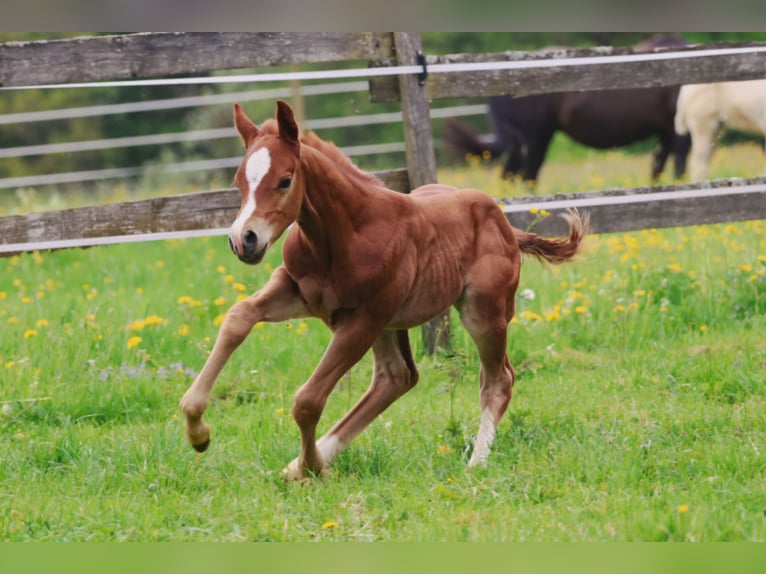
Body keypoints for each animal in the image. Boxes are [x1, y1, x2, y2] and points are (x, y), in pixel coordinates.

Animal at [179, 100, 589, 480]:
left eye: (284, 180)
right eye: (238, 181)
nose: (243, 240)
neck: (342, 235)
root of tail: (503, 220)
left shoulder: (363, 319)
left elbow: (307, 399)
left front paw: (312, 468)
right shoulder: (297, 292)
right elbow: (238, 318)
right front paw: (198, 431)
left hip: (482, 312)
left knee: (497, 380)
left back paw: (476, 462)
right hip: (394, 322)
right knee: (397, 377)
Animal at [442, 35, 692, 185]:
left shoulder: (665, 131)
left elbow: (657, 167)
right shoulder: (678, 132)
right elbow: (678, 166)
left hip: (523, 140)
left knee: (511, 175)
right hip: (536, 137)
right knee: (528, 175)